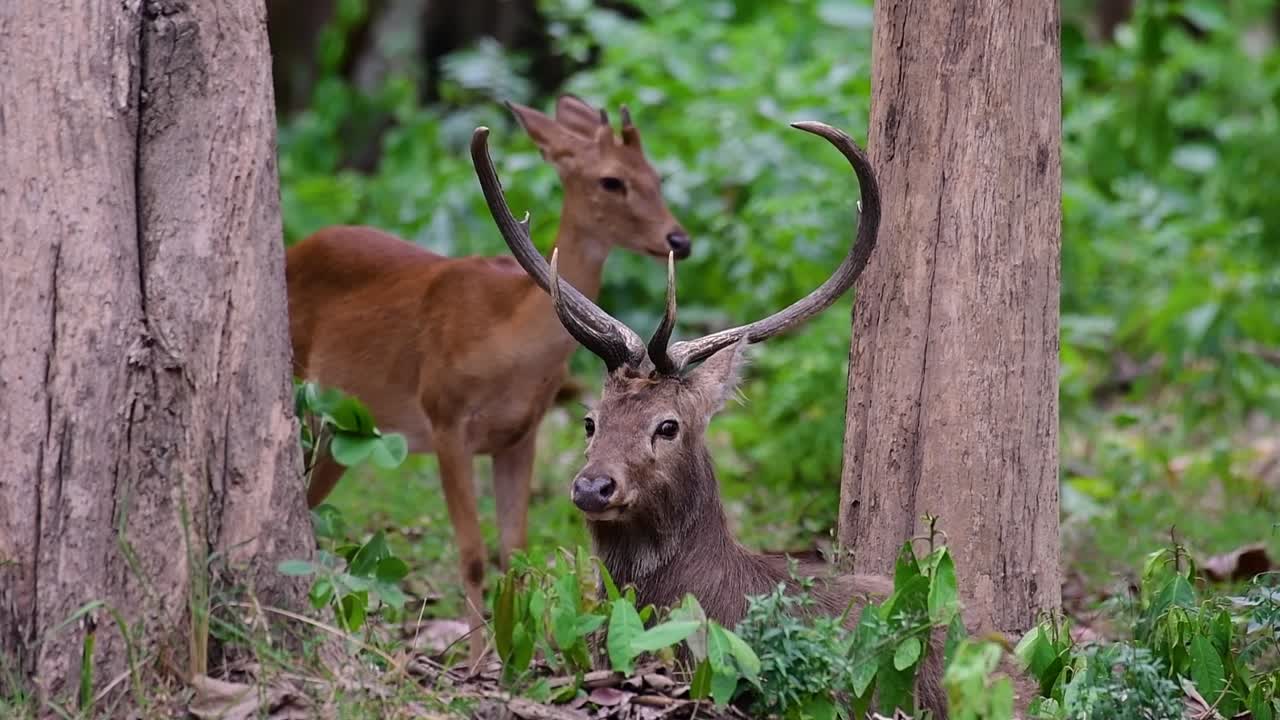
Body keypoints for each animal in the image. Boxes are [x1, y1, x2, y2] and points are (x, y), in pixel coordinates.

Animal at [285, 95, 691, 661]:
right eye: (612, 181)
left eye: (655, 175)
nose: (679, 239)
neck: (509, 341)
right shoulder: (444, 418)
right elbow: (473, 553)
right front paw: (476, 659)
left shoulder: (521, 435)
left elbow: (512, 548)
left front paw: (510, 652)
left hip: (343, 432)